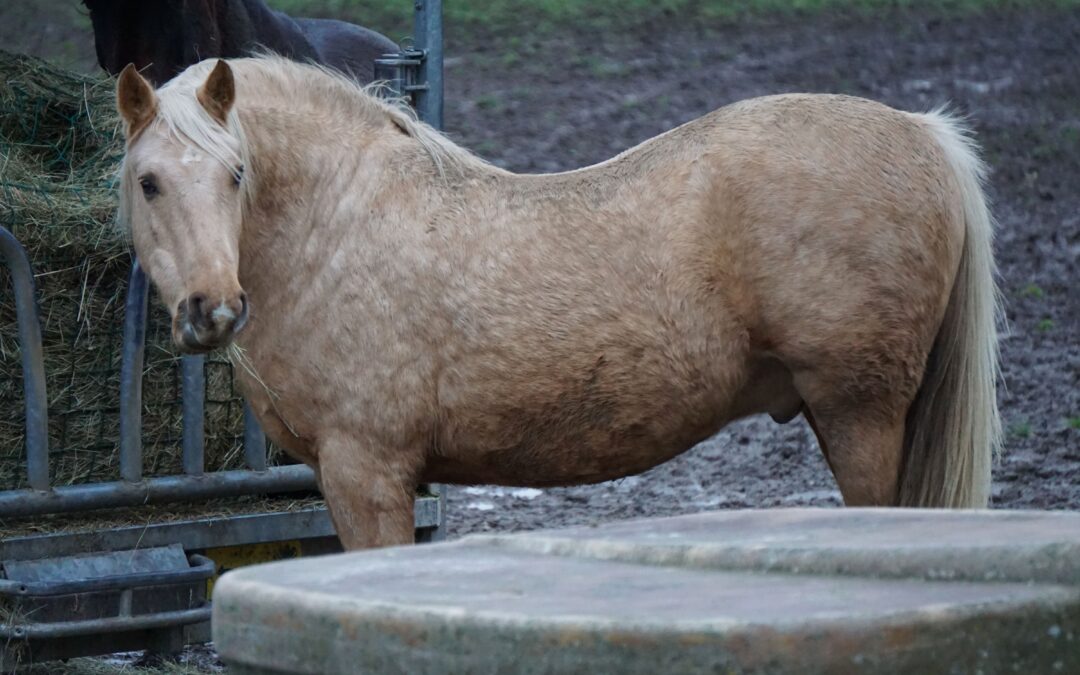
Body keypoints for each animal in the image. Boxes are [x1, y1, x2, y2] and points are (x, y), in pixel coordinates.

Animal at [115, 57, 1002, 550]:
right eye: (148, 180)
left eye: (236, 174)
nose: (212, 309)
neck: (337, 221)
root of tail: (923, 132)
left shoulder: (368, 471)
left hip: (860, 412)